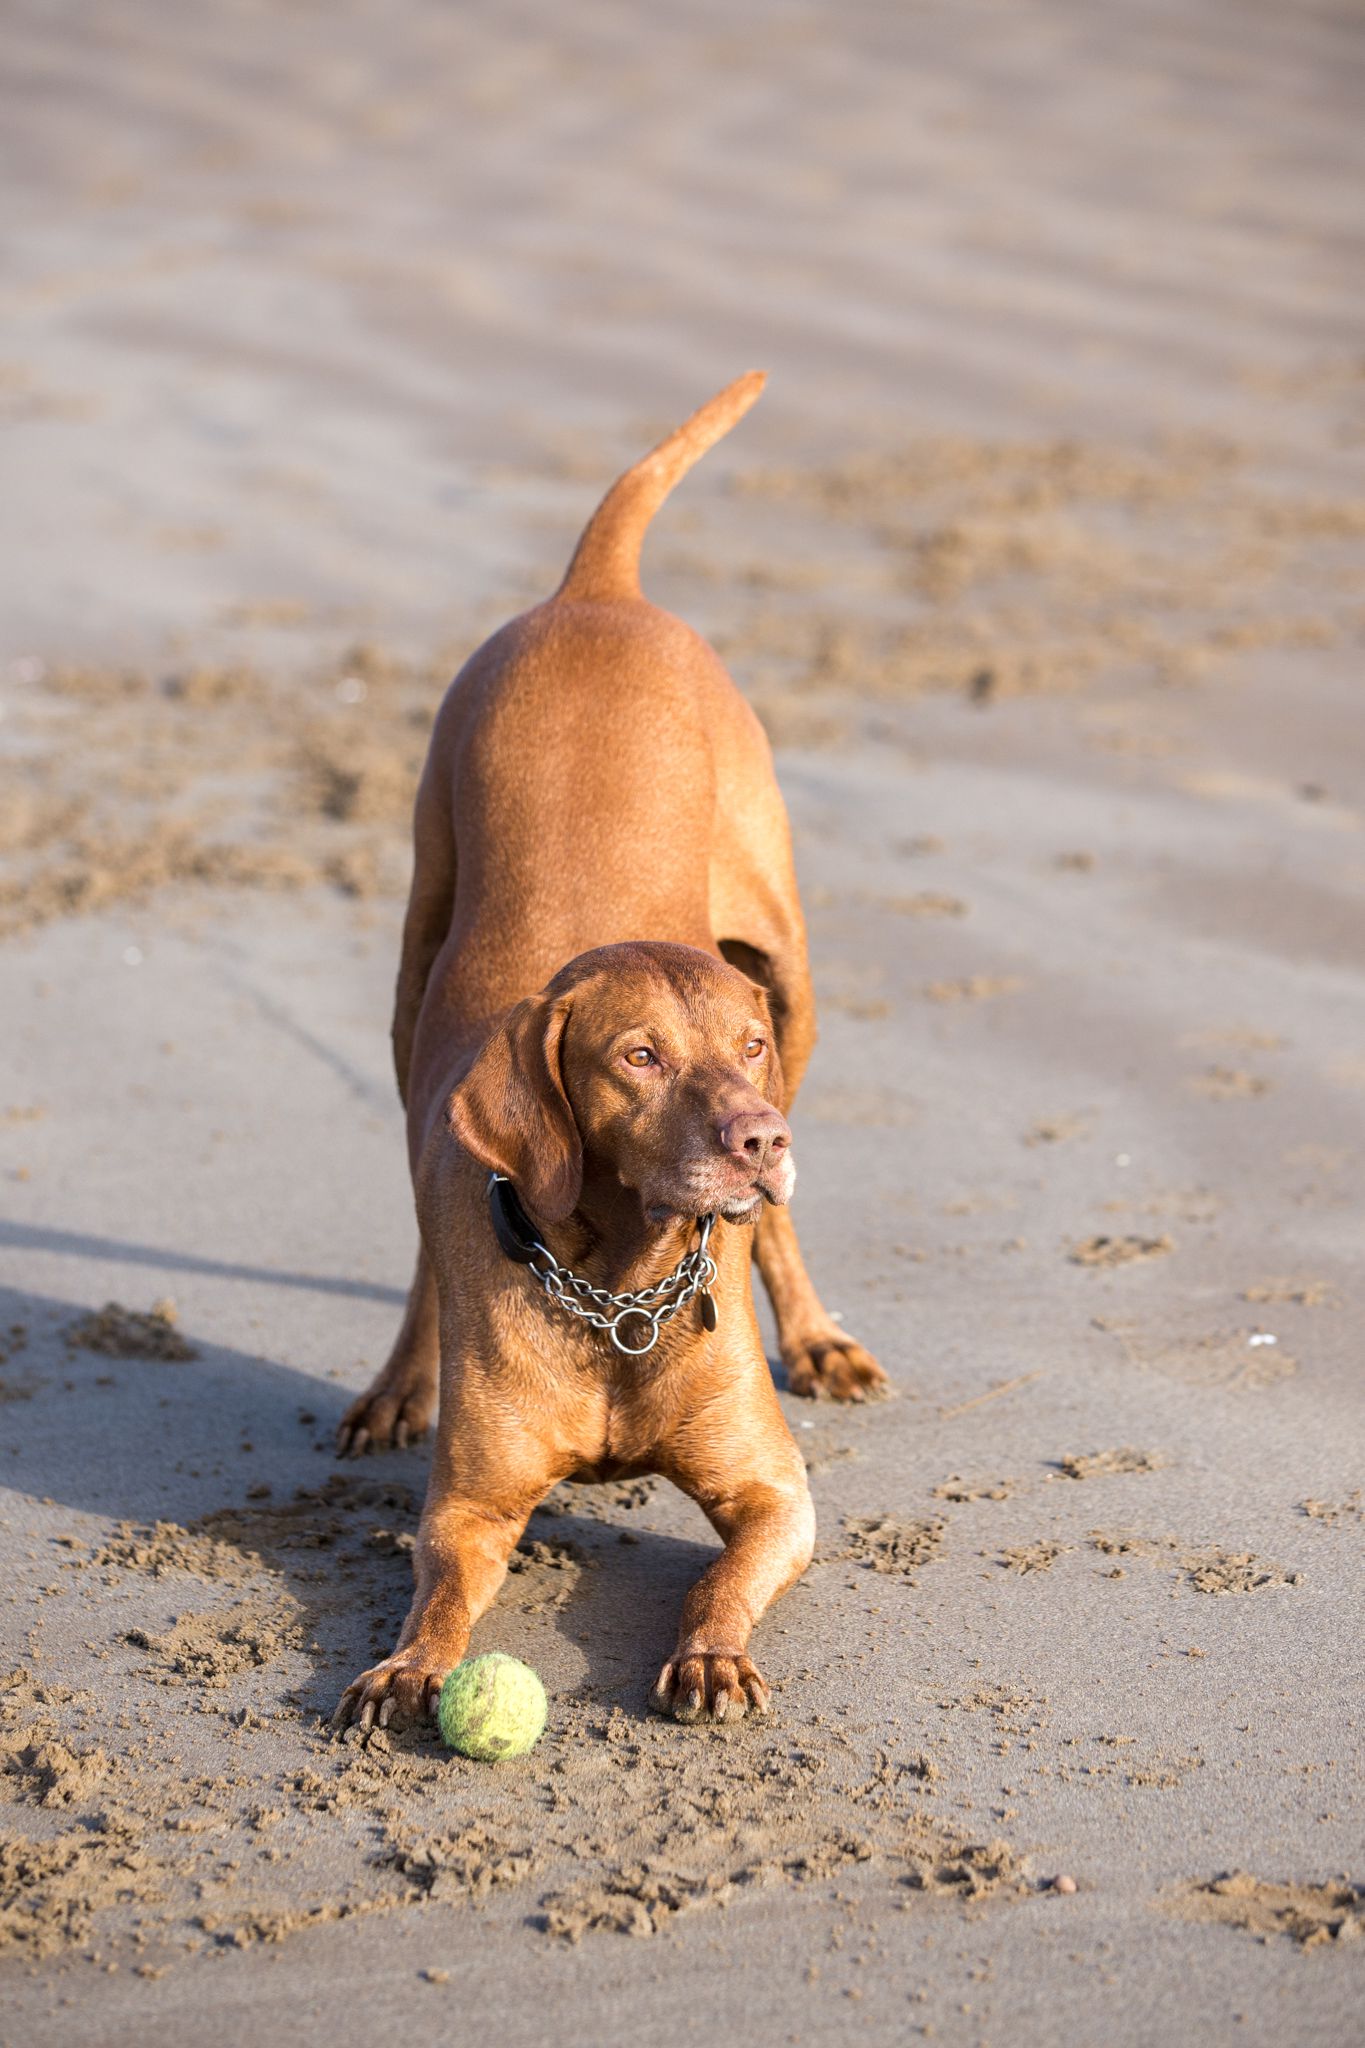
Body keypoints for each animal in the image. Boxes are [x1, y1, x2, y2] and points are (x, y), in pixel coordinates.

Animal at [331, 372, 888, 1728]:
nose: (760, 1138)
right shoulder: (471, 1506)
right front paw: (408, 1666)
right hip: (411, 969)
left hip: (793, 955)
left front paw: (711, 1652)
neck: (620, 1288)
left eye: (739, 1045)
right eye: (636, 1056)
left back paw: (816, 1333)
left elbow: (720, 1574)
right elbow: (437, 1590)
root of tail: (599, 588)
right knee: (421, 1214)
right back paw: (399, 1380)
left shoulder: (776, 1494)